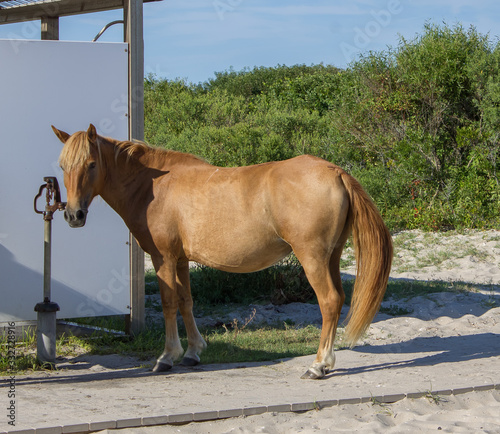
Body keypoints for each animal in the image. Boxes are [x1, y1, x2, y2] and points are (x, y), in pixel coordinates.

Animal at [52, 123, 392, 380]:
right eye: (63, 166)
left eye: (91, 164)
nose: (73, 215)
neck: (152, 187)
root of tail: (336, 171)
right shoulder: (181, 260)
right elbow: (186, 302)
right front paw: (192, 352)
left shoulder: (163, 258)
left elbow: (168, 303)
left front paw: (167, 356)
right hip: (331, 257)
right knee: (339, 299)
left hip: (312, 258)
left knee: (329, 301)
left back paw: (318, 365)